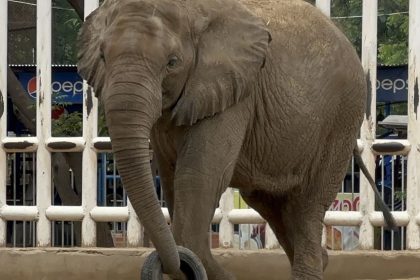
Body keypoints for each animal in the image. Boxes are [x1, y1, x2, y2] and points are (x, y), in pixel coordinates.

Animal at [77, 0, 396, 278]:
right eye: (103, 57)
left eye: (172, 63)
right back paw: (323, 258)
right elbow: (170, 179)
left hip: (342, 117)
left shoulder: (233, 96)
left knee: (307, 204)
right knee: (271, 202)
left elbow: (198, 176)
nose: (173, 264)